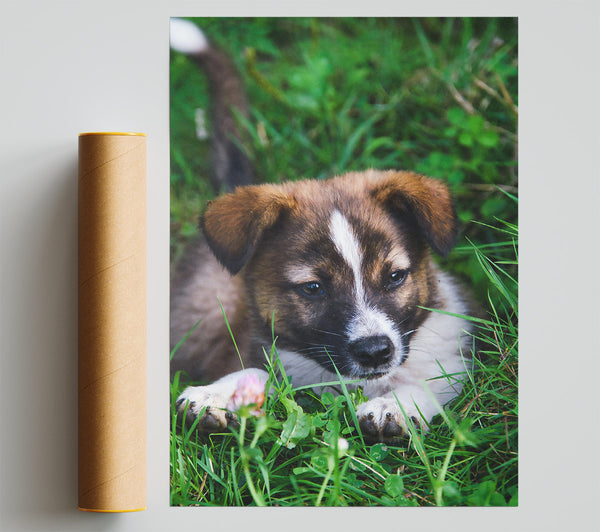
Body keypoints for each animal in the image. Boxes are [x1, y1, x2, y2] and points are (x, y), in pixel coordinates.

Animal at [169, 19, 474, 440]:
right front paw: (216, 393)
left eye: (395, 276)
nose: (375, 351)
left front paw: (395, 406)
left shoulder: (455, 359)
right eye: (313, 288)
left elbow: (431, 383)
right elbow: (255, 369)